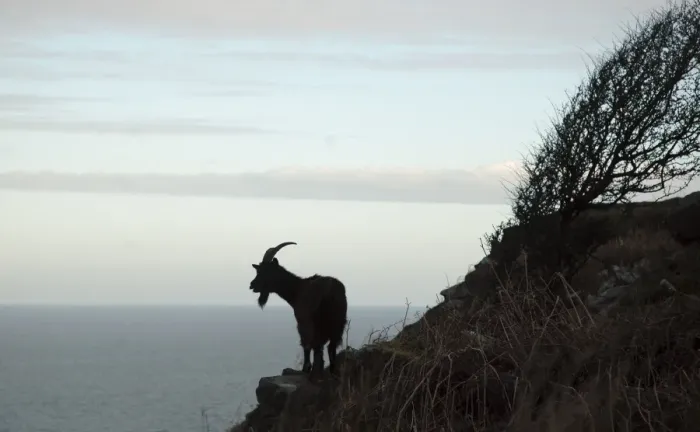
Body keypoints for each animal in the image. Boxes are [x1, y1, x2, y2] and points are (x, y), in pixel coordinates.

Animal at [249, 241, 348, 380]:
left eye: (267, 271)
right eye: (258, 270)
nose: (252, 285)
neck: (297, 289)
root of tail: (331, 292)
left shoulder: (302, 321)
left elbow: (305, 344)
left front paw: (305, 368)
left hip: (318, 323)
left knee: (317, 346)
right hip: (338, 323)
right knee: (330, 346)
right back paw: (332, 371)